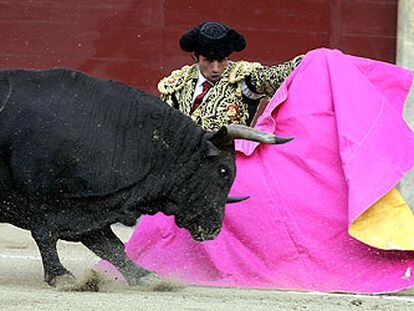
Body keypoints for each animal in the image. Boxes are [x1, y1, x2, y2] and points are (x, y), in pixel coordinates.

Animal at [0, 69, 292, 288]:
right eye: (224, 171)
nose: (213, 229)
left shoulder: (89, 207)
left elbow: (111, 246)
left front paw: (145, 276)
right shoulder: (42, 198)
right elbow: (45, 234)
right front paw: (61, 276)